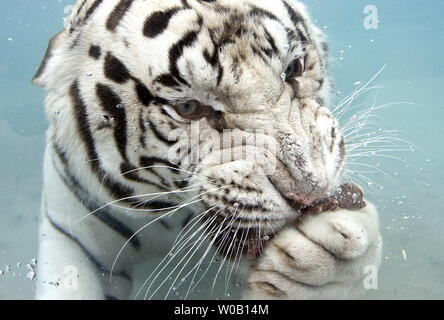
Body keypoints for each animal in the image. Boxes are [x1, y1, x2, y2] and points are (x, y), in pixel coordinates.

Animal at [33, 0, 382, 300]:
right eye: (188, 107)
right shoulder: (73, 238)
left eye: (294, 68)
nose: (309, 195)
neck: (171, 214)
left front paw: (331, 249)